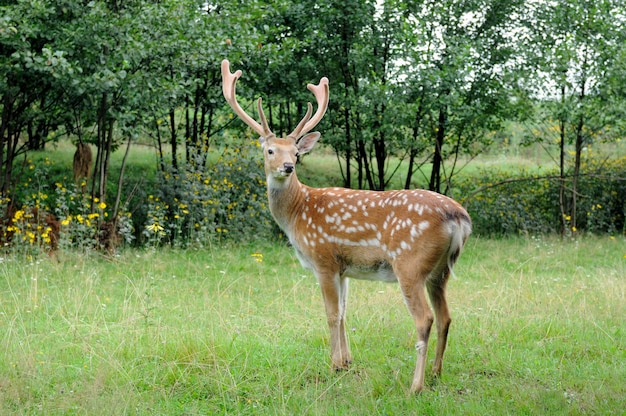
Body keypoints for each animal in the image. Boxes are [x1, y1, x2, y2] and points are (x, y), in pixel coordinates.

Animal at [219, 59, 468, 394]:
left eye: (295, 152)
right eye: (270, 150)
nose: (288, 166)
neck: (298, 212)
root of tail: (459, 216)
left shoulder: (323, 258)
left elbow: (331, 313)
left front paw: (334, 365)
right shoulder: (344, 268)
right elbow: (345, 312)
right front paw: (348, 361)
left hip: (410, 264)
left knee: (424, 319)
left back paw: (415, 385)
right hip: (440, 271)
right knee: (446, 317)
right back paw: (436, 374)